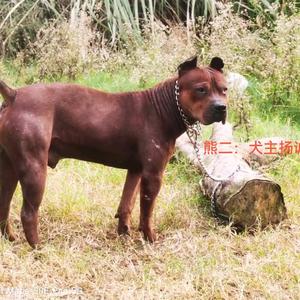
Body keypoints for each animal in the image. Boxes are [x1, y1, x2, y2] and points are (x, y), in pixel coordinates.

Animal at [0, 55, 226, 246]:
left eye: (224, 89)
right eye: (201, 89)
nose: (221, 107)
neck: (164, 108)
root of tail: (14, 95)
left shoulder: (136, 170)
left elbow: (127, 204)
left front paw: (123, 232)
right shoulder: (153, 175)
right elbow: (146, 212)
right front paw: (149, 238)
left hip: (9, 169)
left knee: (4, 204)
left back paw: (9, 239)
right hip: (34, 169)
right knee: (28, 213)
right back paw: (37, 247)